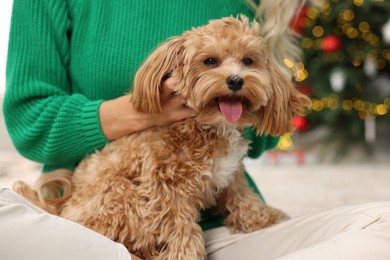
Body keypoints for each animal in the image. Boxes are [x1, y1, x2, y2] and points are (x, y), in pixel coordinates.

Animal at [14, 15, 310, 258]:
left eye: (248, 61)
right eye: (210, 61)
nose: (236, 80)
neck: (208, 126)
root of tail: (62, 210)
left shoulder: (230, 172)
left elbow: (242, 195)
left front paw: (263, 217)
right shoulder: (165, 186)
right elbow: (179, 227)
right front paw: (185, 255)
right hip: (120, 196)